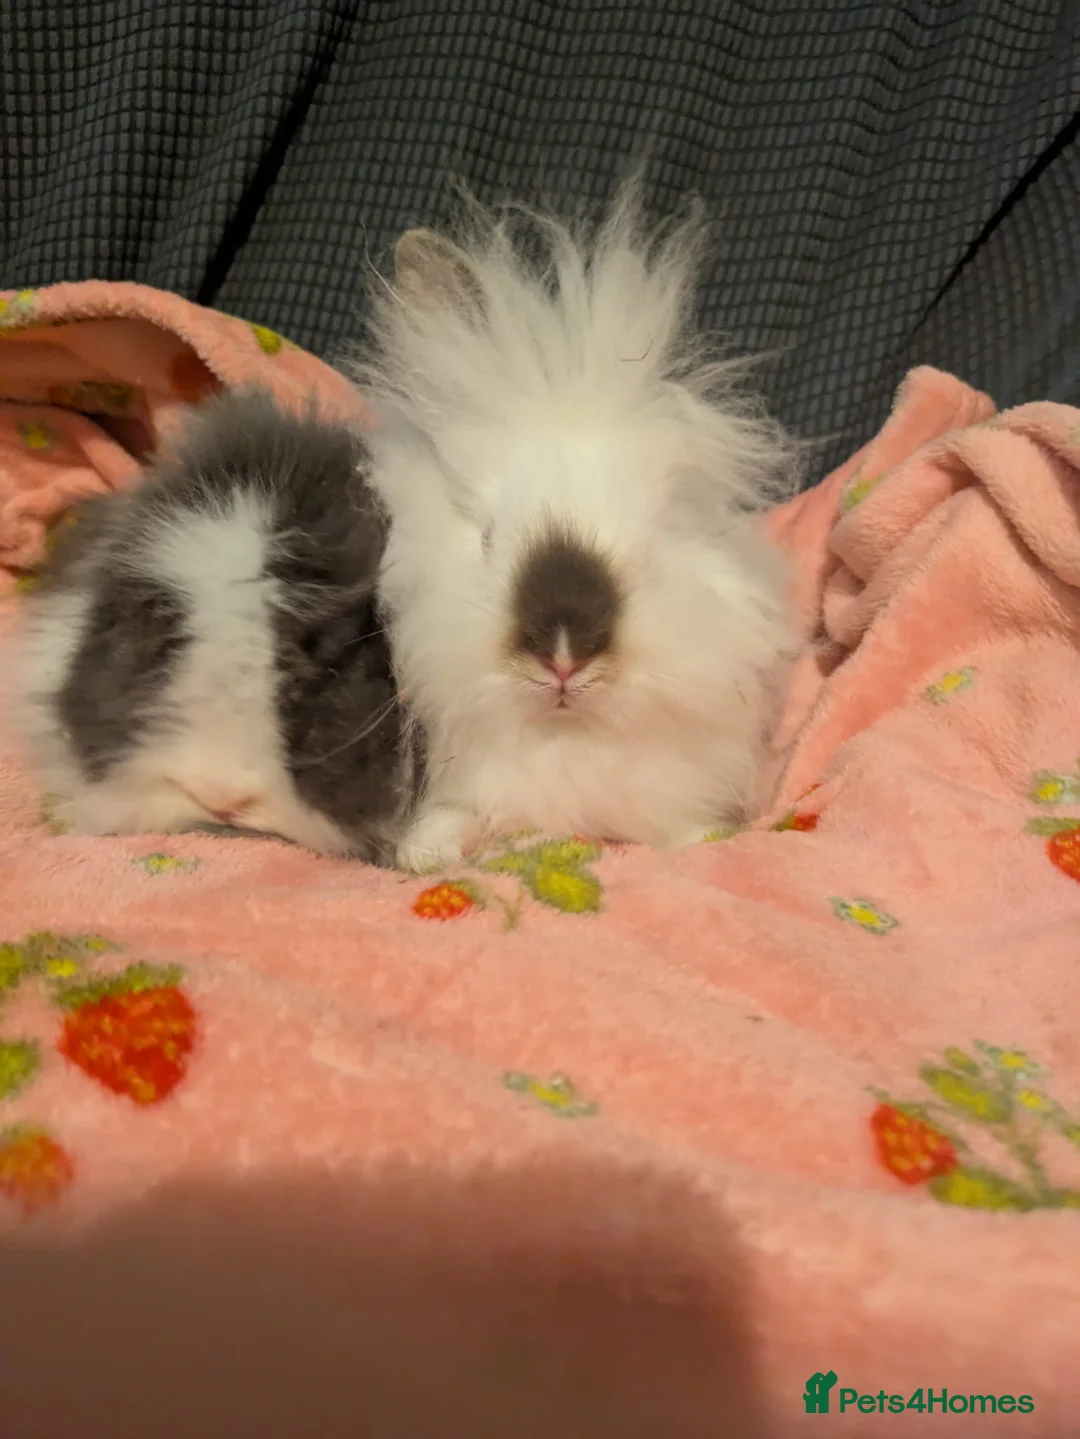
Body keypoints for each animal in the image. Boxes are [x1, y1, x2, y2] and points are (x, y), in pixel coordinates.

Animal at [348, 180, 800, 874]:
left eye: (651, 545)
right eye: (486, 537)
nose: (564, 653)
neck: (561, 738)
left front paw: (707, 841)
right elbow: (449, 818)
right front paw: (426, 856)